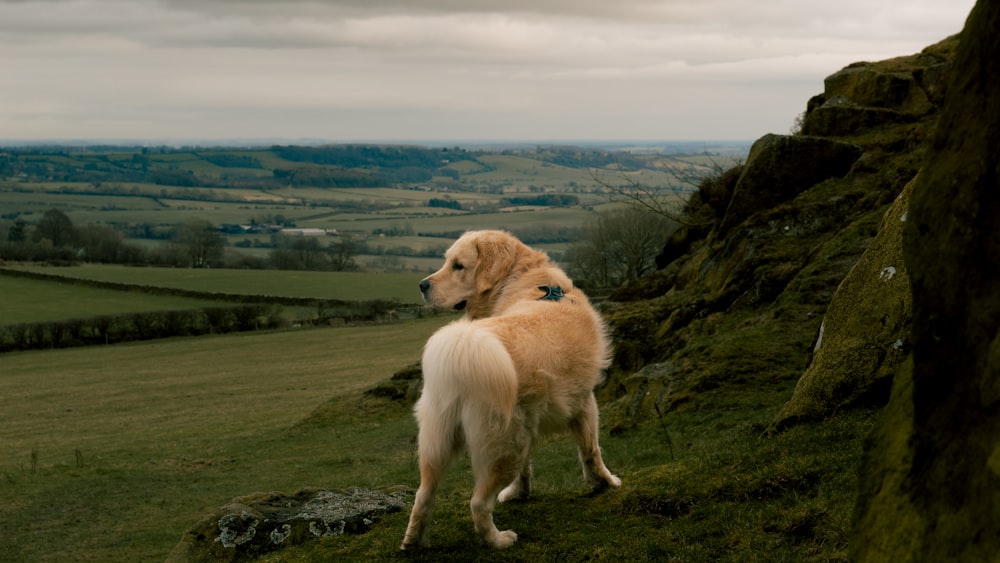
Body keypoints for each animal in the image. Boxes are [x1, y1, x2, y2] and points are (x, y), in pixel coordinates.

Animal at [398, 229, 616, 552]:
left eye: (458, 265)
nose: (422, 285)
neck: (520, 279)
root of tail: (464, 345)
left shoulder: (534, 424)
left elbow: (531, 467)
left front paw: (519, 493)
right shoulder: (585, 402)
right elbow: (591, 450)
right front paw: (605, 482)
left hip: (438, 440)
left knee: (423, 495)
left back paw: (415, 541)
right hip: (503, 446)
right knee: (478, 503)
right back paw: (498, 540)